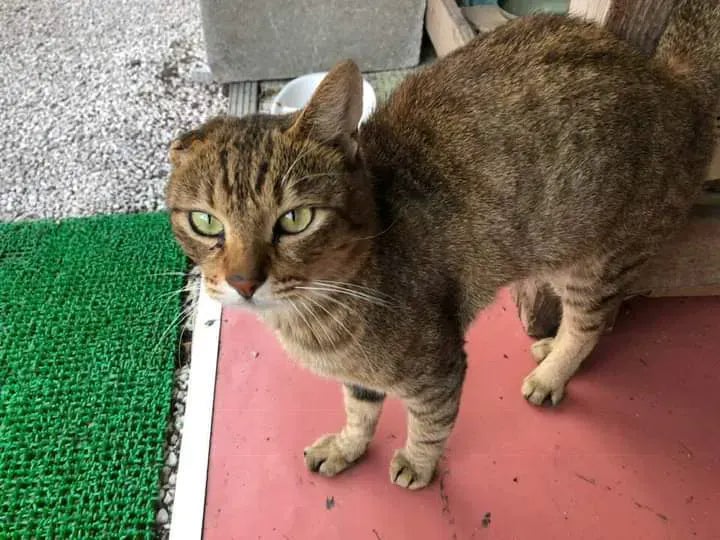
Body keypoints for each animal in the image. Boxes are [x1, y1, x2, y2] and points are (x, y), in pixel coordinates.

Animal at [165, 1, 720, 490]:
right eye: (205, 222)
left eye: (296, 219)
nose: (243, 282)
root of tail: (673, 83)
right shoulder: (361, 377)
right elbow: (360, 411)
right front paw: (347, 446)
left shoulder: (440, 365)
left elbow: (431, 423)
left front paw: (417, 463)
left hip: (596, 262)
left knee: (592, 322)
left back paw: (553, 372)